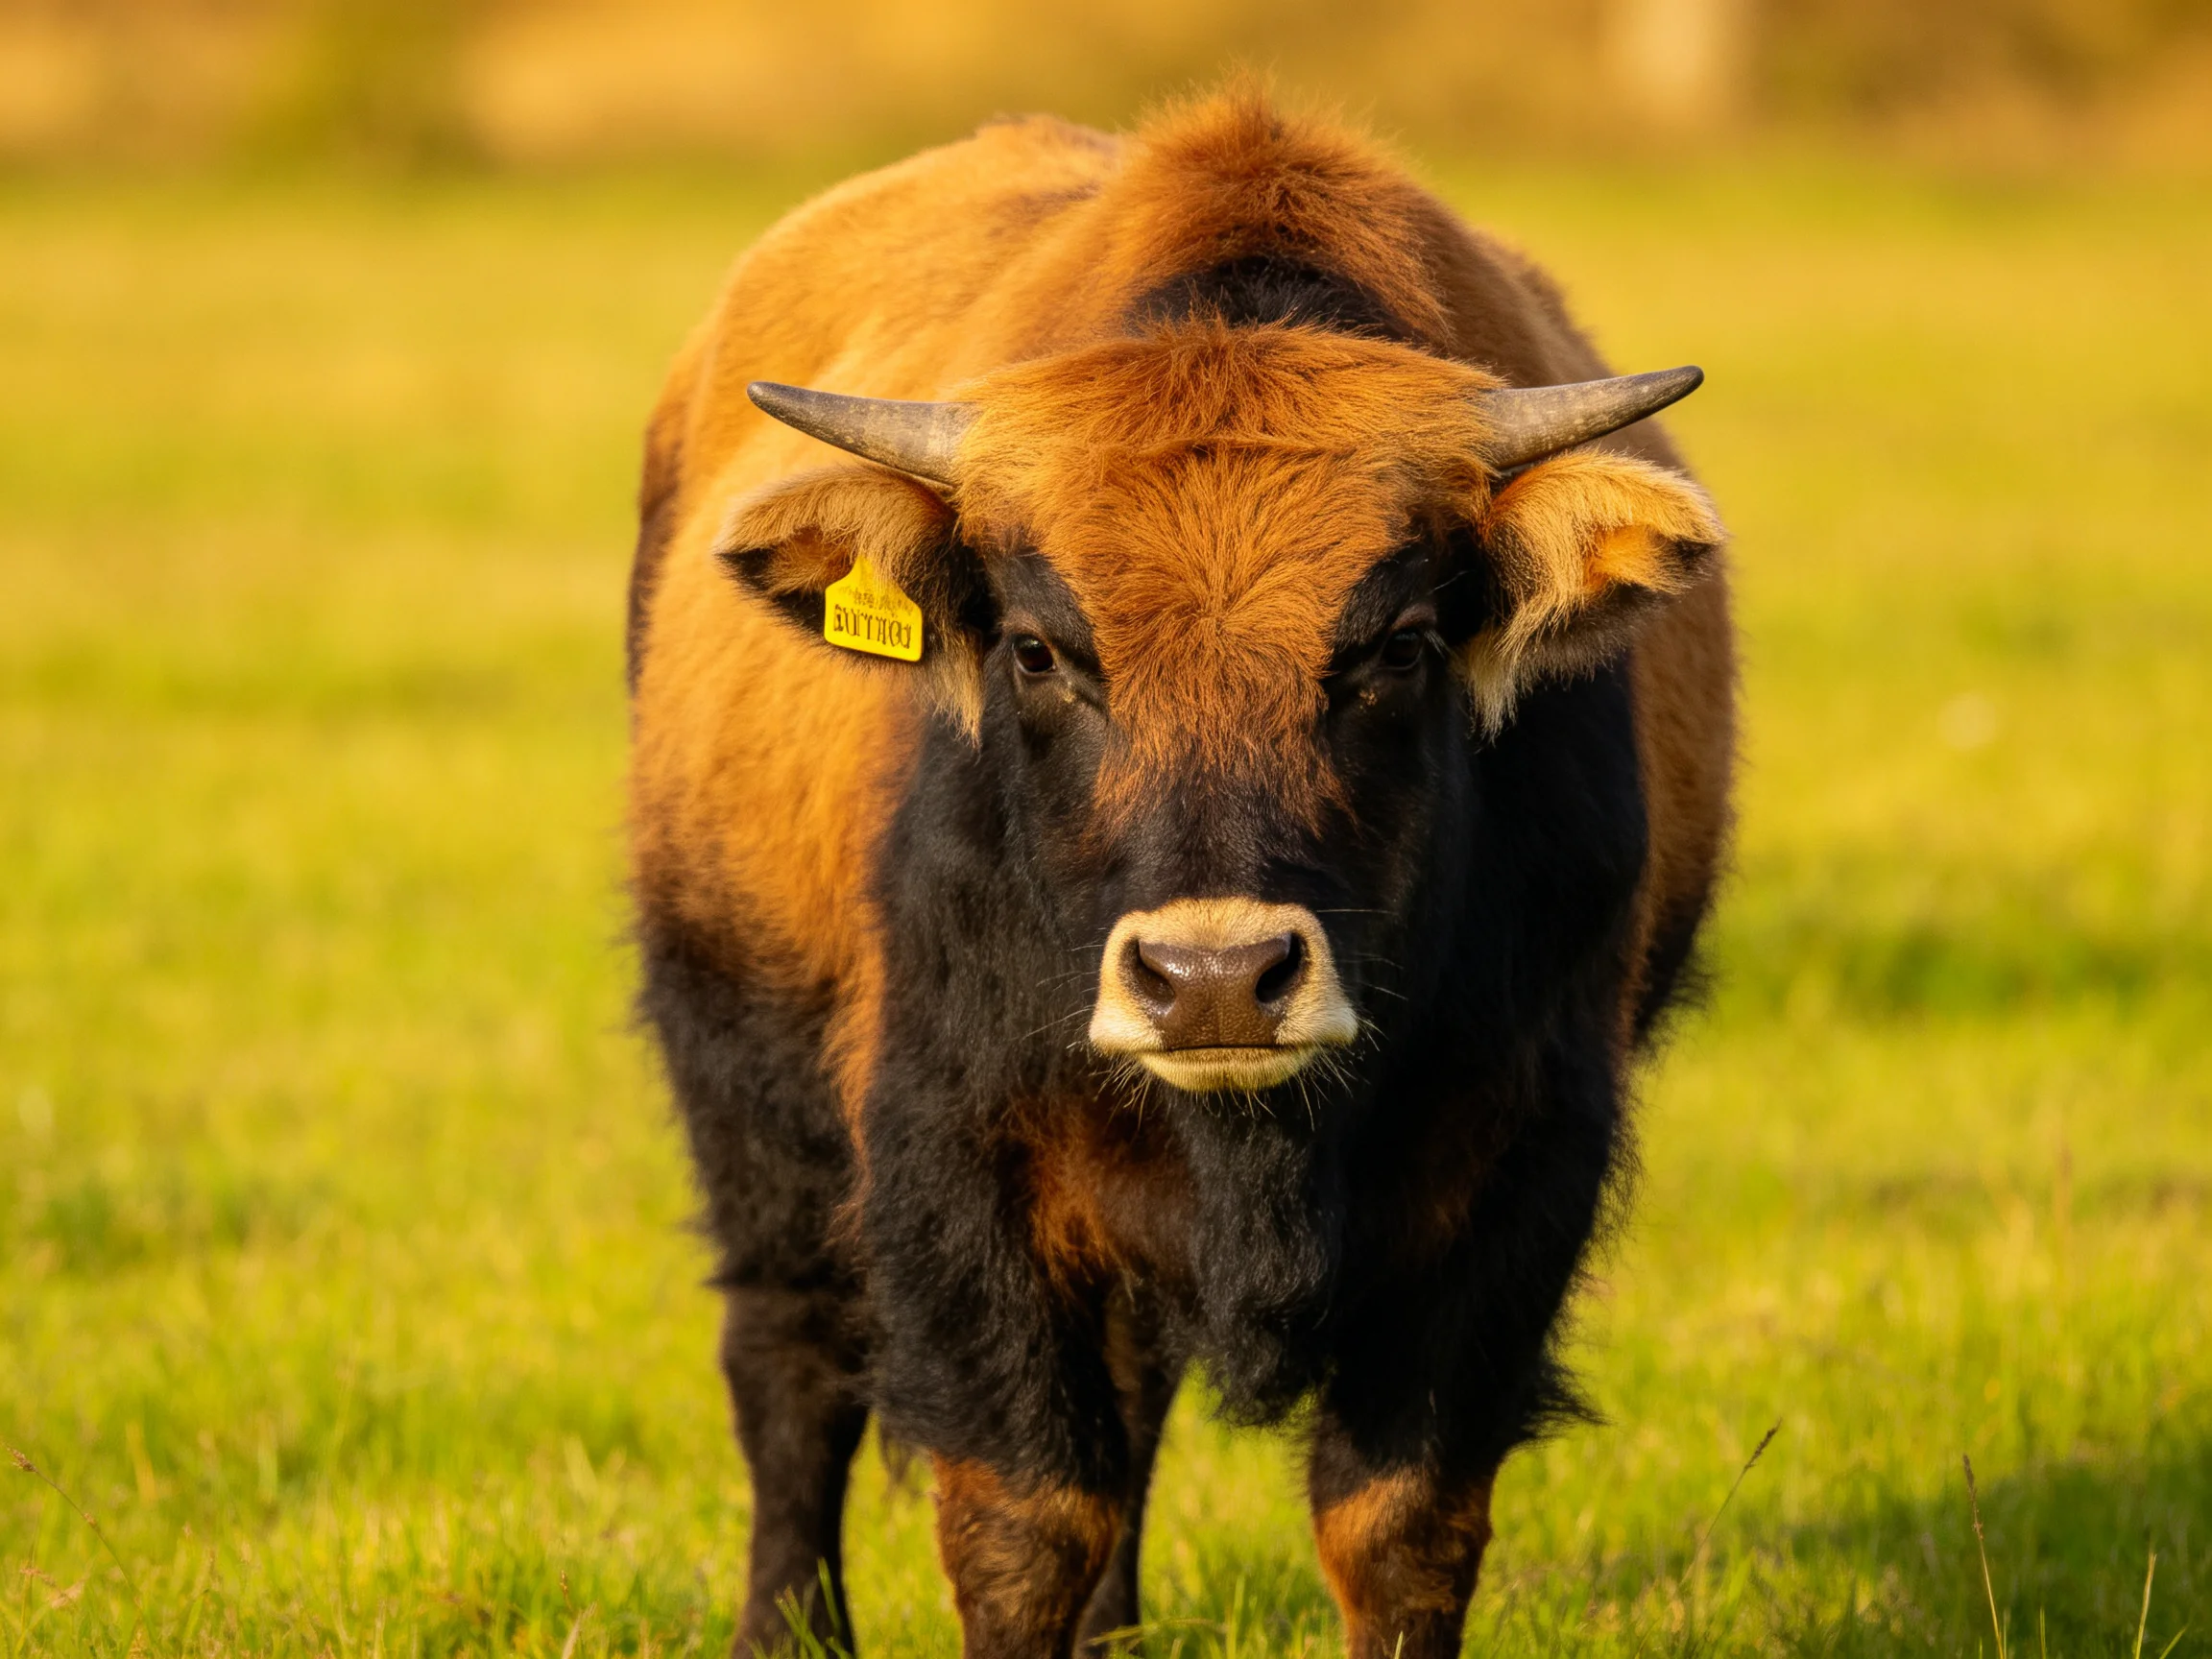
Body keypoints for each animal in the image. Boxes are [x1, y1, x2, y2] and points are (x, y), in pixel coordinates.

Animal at [626, 87, 1733, 1659]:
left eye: (1397, 644)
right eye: (1041, 650)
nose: (1214, 979)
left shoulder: (1517, 1163)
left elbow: (1397, 1527)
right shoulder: (955, 1154)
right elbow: (1026, 1519)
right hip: (742, 1066)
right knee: (794, 1363)